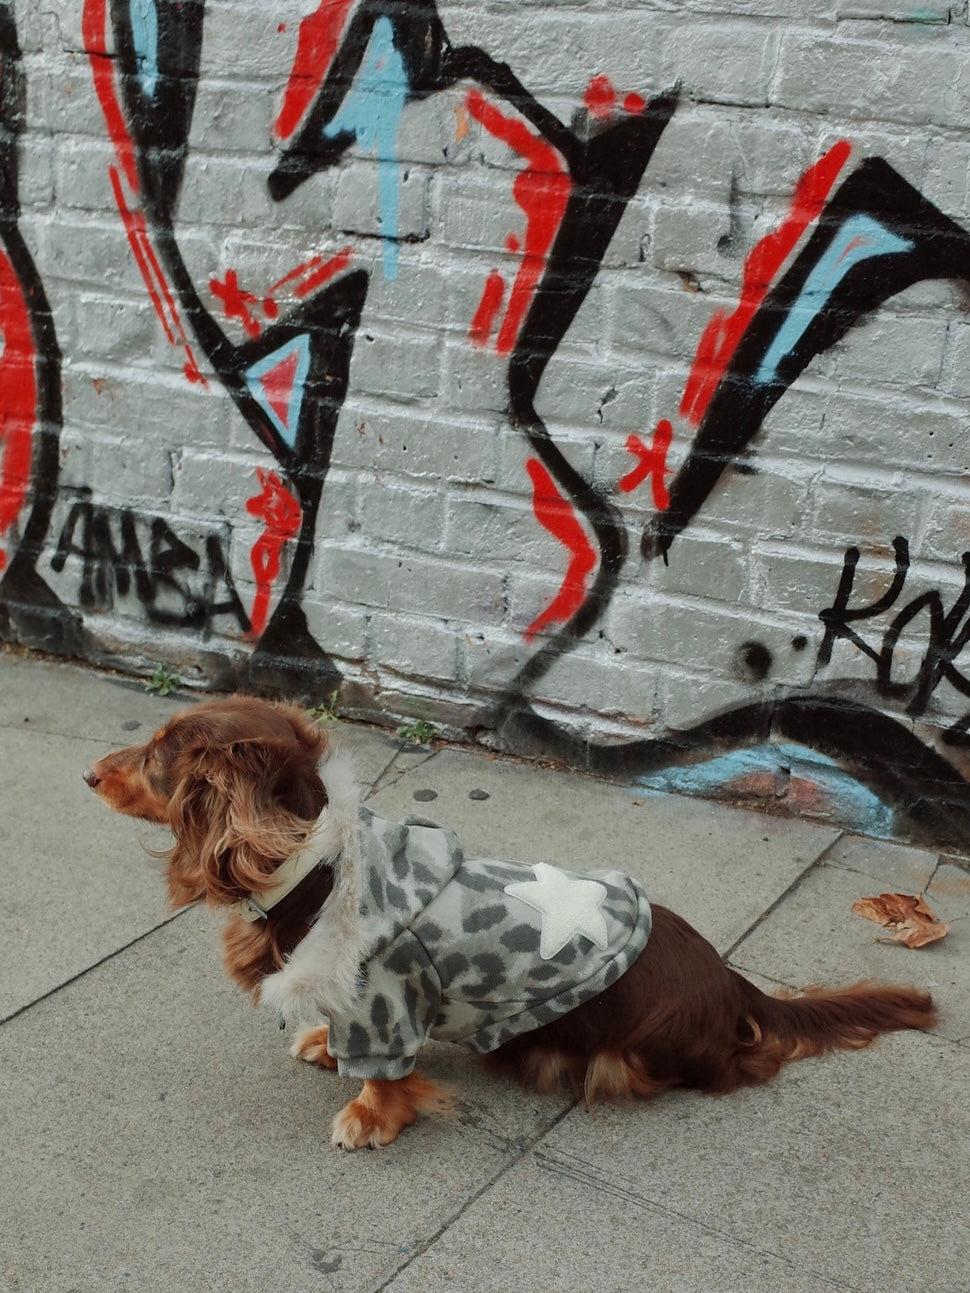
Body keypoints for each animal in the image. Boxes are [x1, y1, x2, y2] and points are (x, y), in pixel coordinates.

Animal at [87, 698, 936, 1153]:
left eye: (162, 753)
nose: (90, 774)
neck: (318, 868)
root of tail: (733, 983)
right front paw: (324, 1041)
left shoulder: (389, 1002)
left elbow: (385, 1074)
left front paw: (368, 1116)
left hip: (619, 1051)